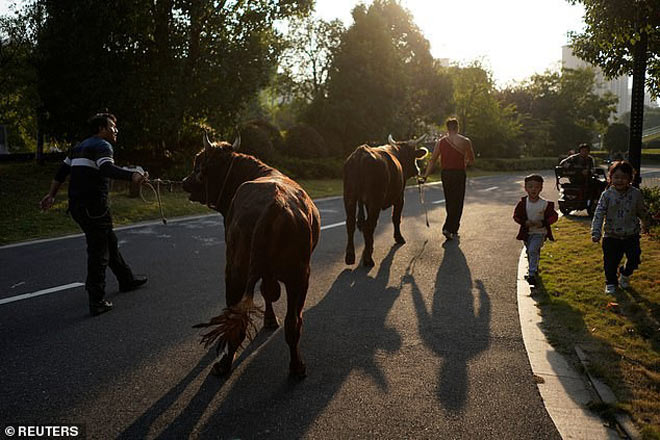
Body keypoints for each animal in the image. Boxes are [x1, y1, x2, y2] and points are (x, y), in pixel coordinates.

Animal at [182, 132, 320, 376]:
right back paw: (297, 367)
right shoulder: (269, 273)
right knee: (293, 323)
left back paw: (224, 364)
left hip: (235, 270)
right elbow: (267, 293)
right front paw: (270, 320)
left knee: (237, 318)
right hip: (299, 276)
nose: (184, 182)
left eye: (198, 163)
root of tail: (275, 203)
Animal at [346, 134, 428, 266]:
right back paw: (368, 259)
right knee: (369, 225)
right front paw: (399, 237)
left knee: (351, 223)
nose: (417, 170)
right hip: (375, 201)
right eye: (413, 156)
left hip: (350, 197)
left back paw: (350, 256)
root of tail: (361, 153)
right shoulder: (400, 197)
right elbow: (396, 218)